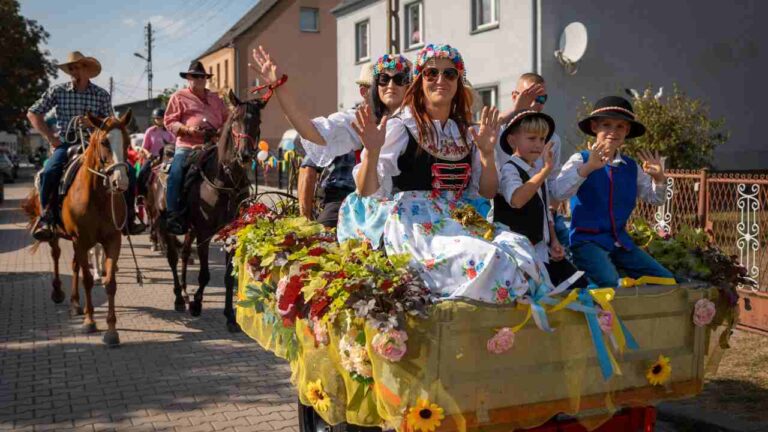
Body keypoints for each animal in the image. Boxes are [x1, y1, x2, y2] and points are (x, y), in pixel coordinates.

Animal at [24, 110, 134, 344]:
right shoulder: (82, 240)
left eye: (128, 142)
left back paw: (75, 303)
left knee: (74, 265)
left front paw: (112, 330)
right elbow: (88, 280)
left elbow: (110, 282)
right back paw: (58, 293)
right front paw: (90, 321)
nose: (120, 181)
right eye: (104, 142)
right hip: (58, 236)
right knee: (57, 256)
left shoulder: (112, 240)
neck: (97, 197)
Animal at [148, 88, 266, 330]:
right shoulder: (204, 233)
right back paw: (179, 298)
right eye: (235, 120)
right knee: (173, 258)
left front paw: (230, 317)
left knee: (184, 255)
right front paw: (196, 304)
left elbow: (229, 277)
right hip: (164, 224)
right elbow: (204, 274)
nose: (245, 155)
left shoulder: (231, 235)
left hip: (189, 229)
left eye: (257, 121)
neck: (225, 181)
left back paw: (185, 293)